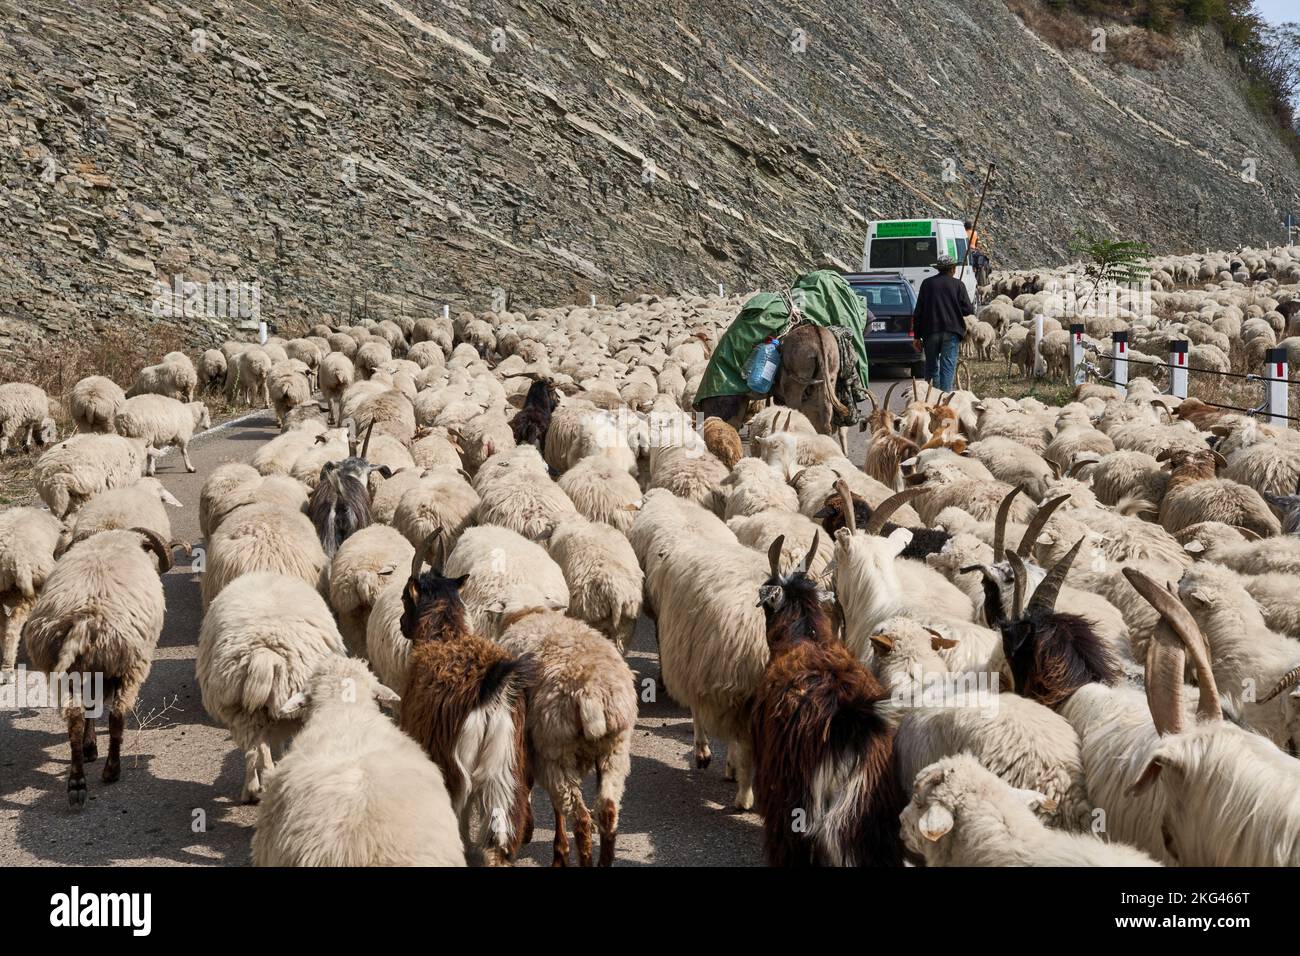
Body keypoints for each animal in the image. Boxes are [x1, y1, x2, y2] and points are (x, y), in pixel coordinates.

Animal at [397, 530, 535, 868]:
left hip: (455, 765)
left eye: (405, 597)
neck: (447, 636)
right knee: (500, 837)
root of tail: (492, 689)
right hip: (506, 768)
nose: (402, 625)